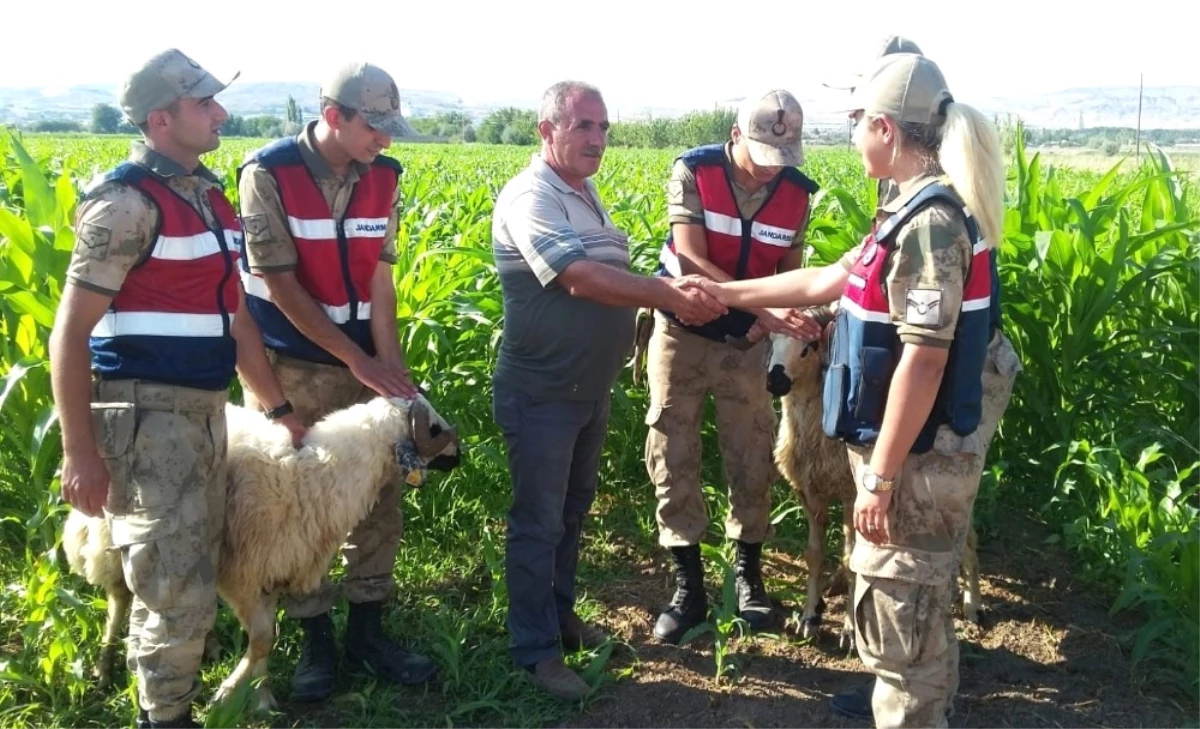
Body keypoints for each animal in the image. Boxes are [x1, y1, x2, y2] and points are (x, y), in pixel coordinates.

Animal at [60, 393, 463, 709]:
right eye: (434, 428)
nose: (461, 455)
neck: (317, 474)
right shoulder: (243, 576)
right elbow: (263, 639)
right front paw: (227, 694)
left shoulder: (272, 571)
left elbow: (265, 643)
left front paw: (260, 696)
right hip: (112, 534)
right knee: (120, 596)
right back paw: (105, 665)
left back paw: (207, 645)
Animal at [768, 333, 984, 647]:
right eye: (771, 340)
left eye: (809, 347)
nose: (774, 381)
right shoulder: (809, 492)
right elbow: (814, 555)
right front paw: (809, 618)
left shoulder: (851, 494)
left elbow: (850, 560)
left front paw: (849, 631)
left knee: (968, 536)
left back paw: (972, 605)